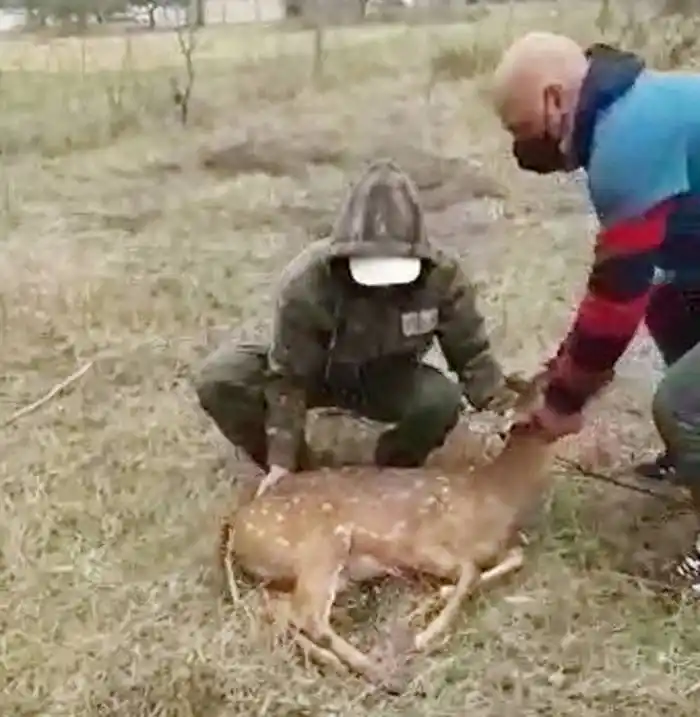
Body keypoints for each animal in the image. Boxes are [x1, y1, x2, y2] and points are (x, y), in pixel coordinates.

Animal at [218, 373, 562, 692]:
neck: (495, 496)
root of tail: (234, 525)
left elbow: (511, 558)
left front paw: (435, 600)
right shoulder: (418, 543)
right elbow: (470, 572)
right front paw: (424, 634)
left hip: (289, 573)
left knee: (281, 613)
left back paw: (339, 662)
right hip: (323, 542)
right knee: (307, 615)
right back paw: (379, 672)